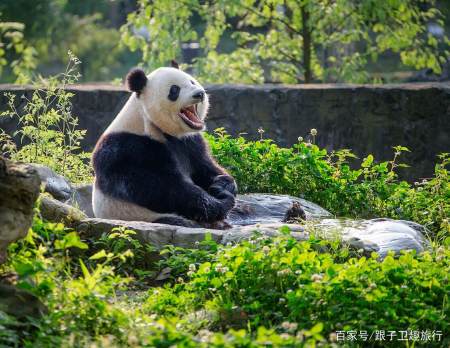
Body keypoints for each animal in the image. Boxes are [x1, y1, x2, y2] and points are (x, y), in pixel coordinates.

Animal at [92, 62, 239, 227]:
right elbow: (158, 187)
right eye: (174, 90)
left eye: (192, 82)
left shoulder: (189, 141)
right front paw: (219, 202)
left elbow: (203, 165)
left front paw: (223, 184)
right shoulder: (128, 148)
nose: (199, 94)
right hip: (143, 215)